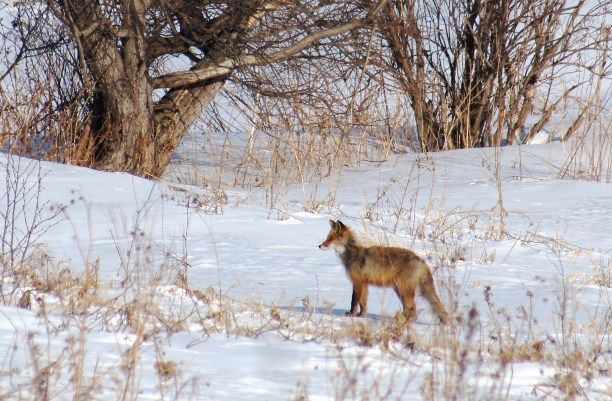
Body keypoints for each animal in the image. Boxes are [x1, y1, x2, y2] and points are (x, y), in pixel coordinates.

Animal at [319, 220, 450, 324]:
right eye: (327, 238)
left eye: (330, 239)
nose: (319, 246)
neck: (352, 255)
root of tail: (422, 261)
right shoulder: (364, 284)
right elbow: (363, 304)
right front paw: (361, 316)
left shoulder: (357, 282)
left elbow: (354, 301)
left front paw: (351, 315)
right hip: (398, 289)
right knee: (409, 308)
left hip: (402, 288)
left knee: (412, 308)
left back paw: (402, 321)